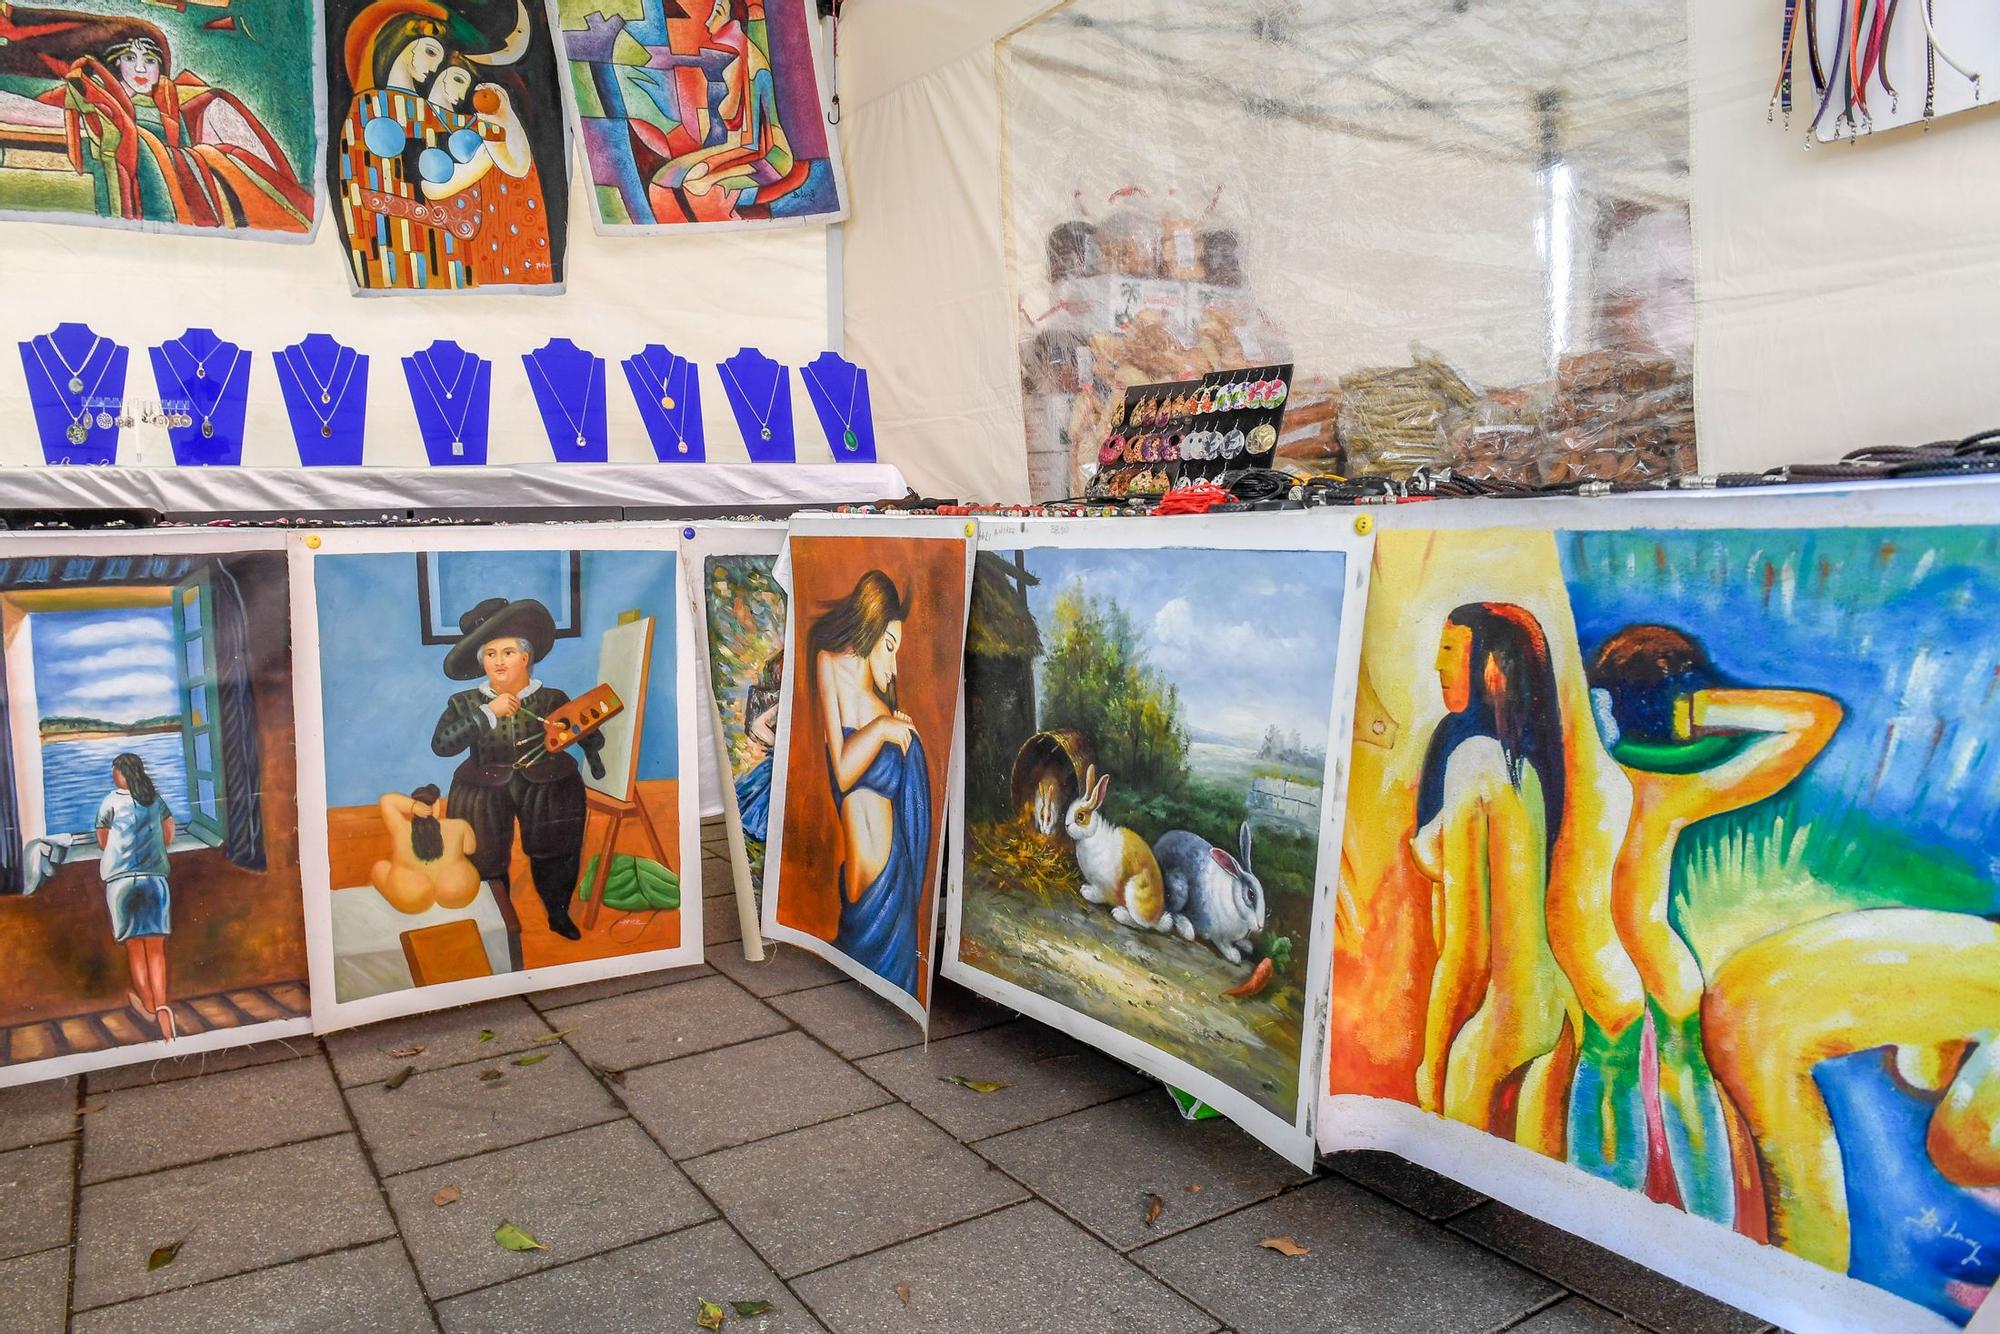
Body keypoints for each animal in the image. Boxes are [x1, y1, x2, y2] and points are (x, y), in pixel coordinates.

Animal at [1064, 768, 1168, 936]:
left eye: (1080, 816)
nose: (1066, 825)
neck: (1091, 835)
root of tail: (1157, 918)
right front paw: (1085, 888)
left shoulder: (1104, 884)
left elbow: (1101, 895)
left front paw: (1087, 893)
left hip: (1134, 891)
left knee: (1142, 925)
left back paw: (1119, 914)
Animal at [1152, 820, 1256, 964]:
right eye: (1251, 895)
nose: (1260, 926)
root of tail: (1156, 847)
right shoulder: (1217, 933)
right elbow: (1222, 943)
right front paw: (1234, 955)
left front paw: (1247, 945)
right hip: (1179, 890)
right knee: (1171, 909)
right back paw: (1184, 928)